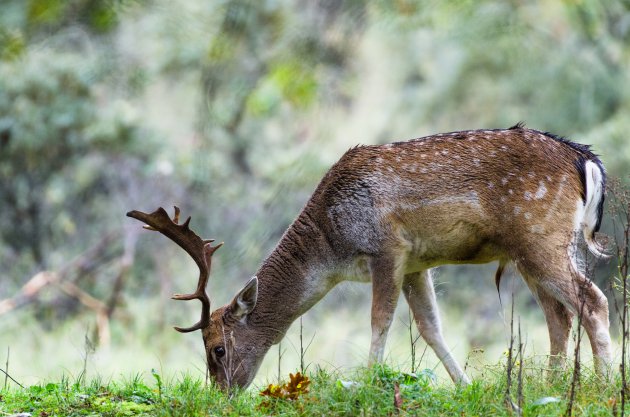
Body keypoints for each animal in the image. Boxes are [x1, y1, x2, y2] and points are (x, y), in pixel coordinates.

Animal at [127, 122, 612, 386]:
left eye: (217, 350)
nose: (221, 393)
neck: (331, 246)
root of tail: (584, 160)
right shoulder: (418, 264)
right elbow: (431, 327)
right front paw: (465, 385)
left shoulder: (388, 248)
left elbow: (381, 321)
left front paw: (366, 383)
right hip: (532, 250)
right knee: (560, 315)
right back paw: (552, 385)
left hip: (540, 235)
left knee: (594, 301)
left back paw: (604, 383)